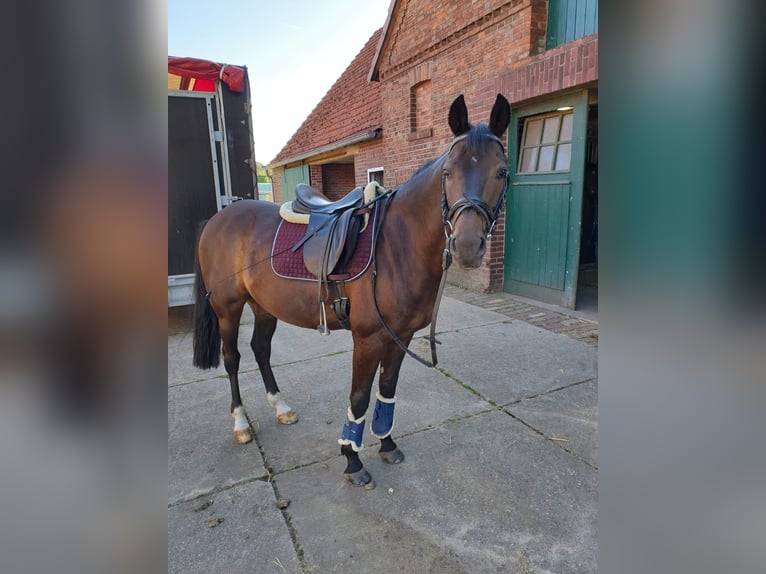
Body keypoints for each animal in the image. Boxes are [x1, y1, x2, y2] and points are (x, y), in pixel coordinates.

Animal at [195, 94, 512, 490]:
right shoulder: (369, 338)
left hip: (264, 306)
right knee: (233, 359)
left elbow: (387, 389)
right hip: (228, 308)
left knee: (261, 350)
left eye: (501, 172)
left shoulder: (401, 336)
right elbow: (359, 397)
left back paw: (281, 408)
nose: (467, 246)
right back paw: (240, 423)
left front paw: (387, 444)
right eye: (447, 173)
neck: (396, 244)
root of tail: (217, 219)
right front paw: (352, 460)